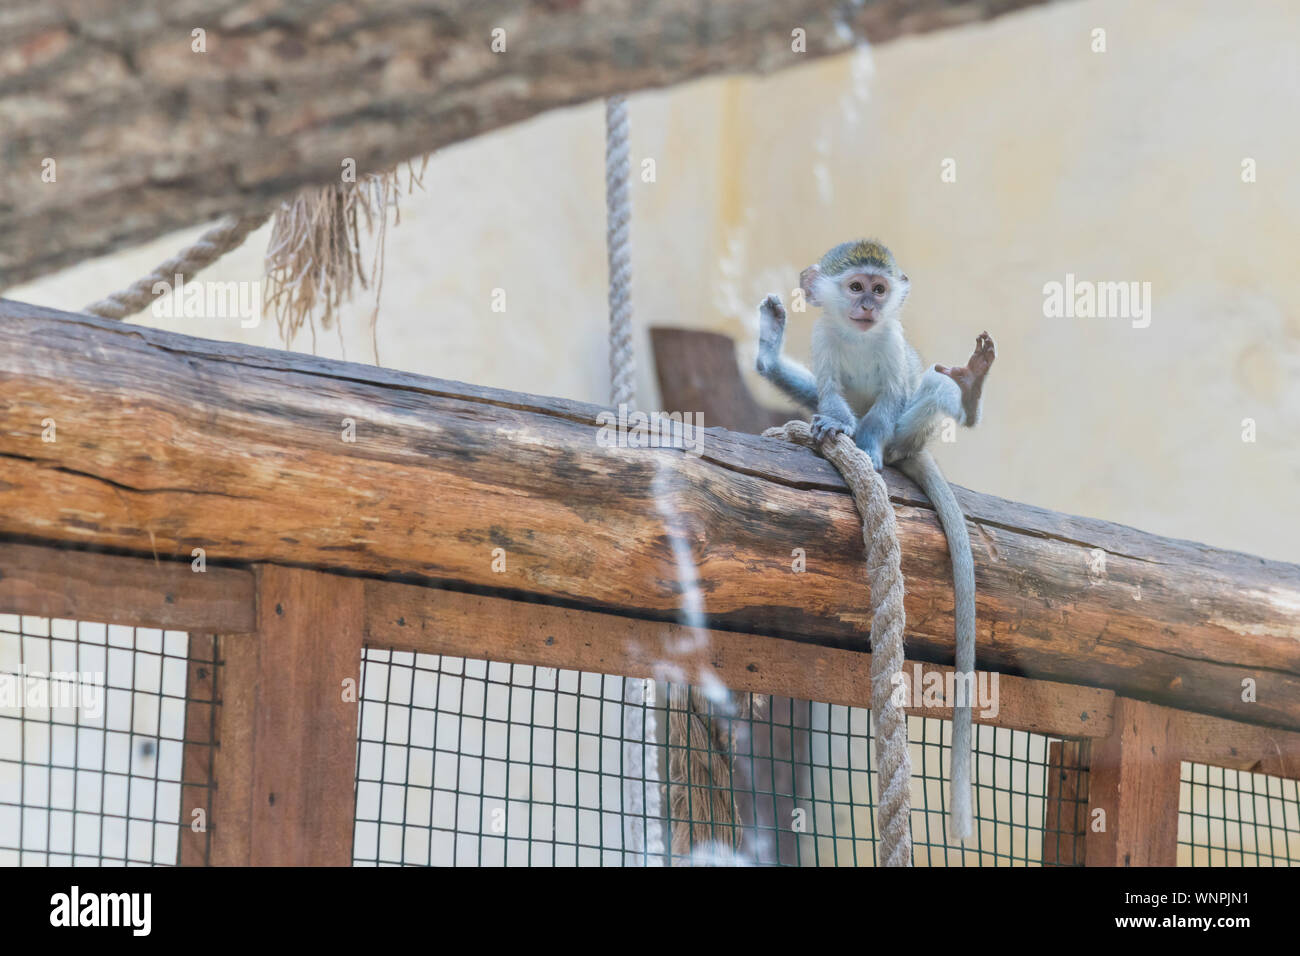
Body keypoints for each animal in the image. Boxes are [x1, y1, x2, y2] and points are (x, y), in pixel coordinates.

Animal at [759, 243, 987, 842]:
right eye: (856, 286)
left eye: (879, 290)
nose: (867, 306)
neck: (860, 336)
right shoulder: (826, 341)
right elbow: (831, 391)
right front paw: (832, 428)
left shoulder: (891, 345)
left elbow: (891, 394)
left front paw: (865, 445)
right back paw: (771, 358)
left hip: (913, 431)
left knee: (929, 390)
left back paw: (967, 395)